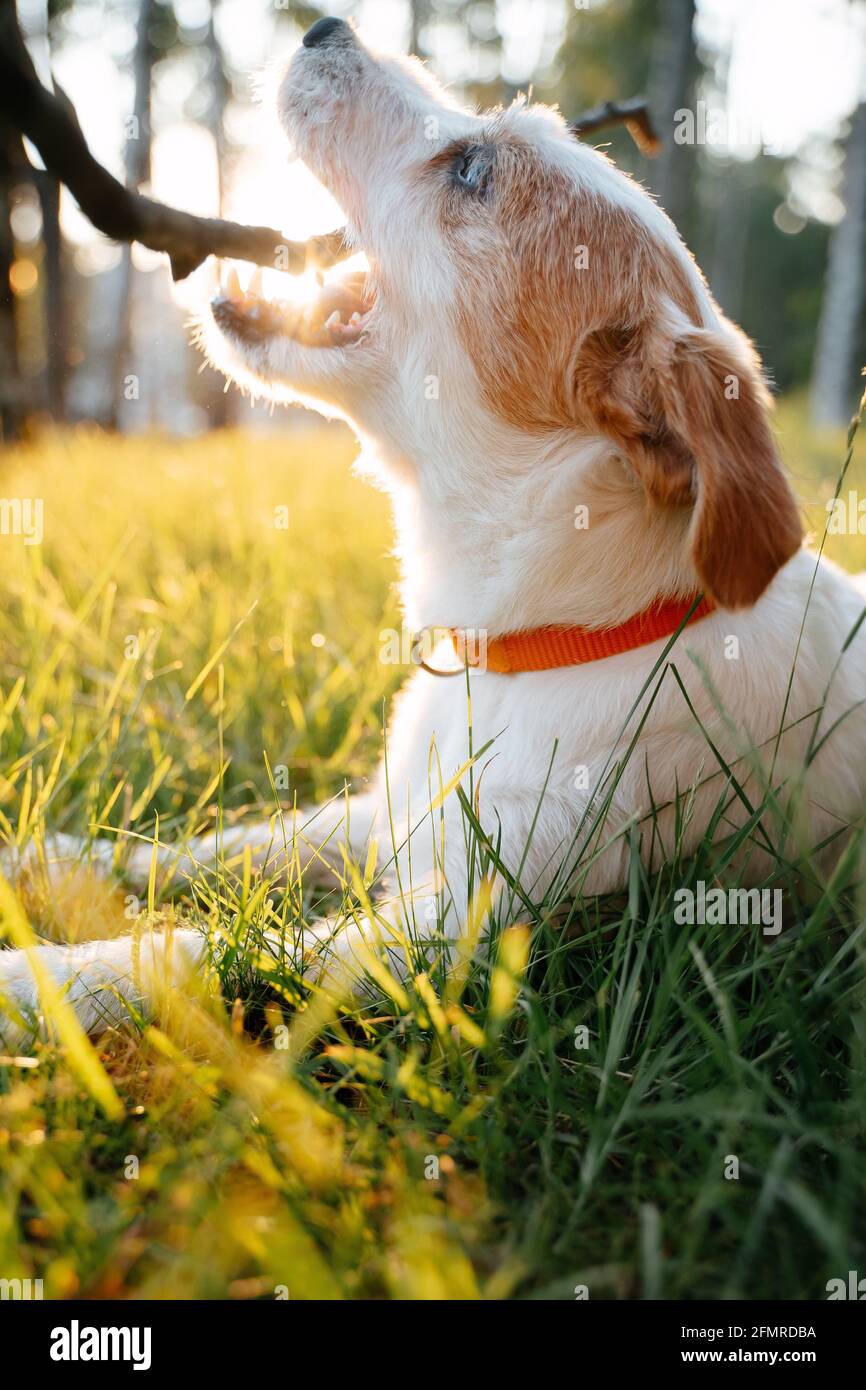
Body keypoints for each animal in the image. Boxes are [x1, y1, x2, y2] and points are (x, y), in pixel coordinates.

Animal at [1, 16, 866, 1039]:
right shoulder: (381, 814)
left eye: (471, 169)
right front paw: (45, 857)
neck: (545, 647)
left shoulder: (448, 936)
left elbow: (188, 952)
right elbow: (216, 846)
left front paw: (31, 982)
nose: (324, 26)